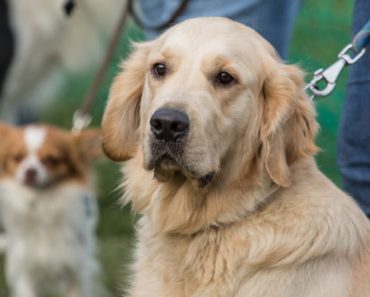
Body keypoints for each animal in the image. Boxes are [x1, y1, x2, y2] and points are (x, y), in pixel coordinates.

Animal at [0, 123, 102, 296]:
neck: (41, 204)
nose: (30, 171)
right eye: (17, 157)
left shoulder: (75, 270)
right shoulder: (25, 270)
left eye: (52, 159)